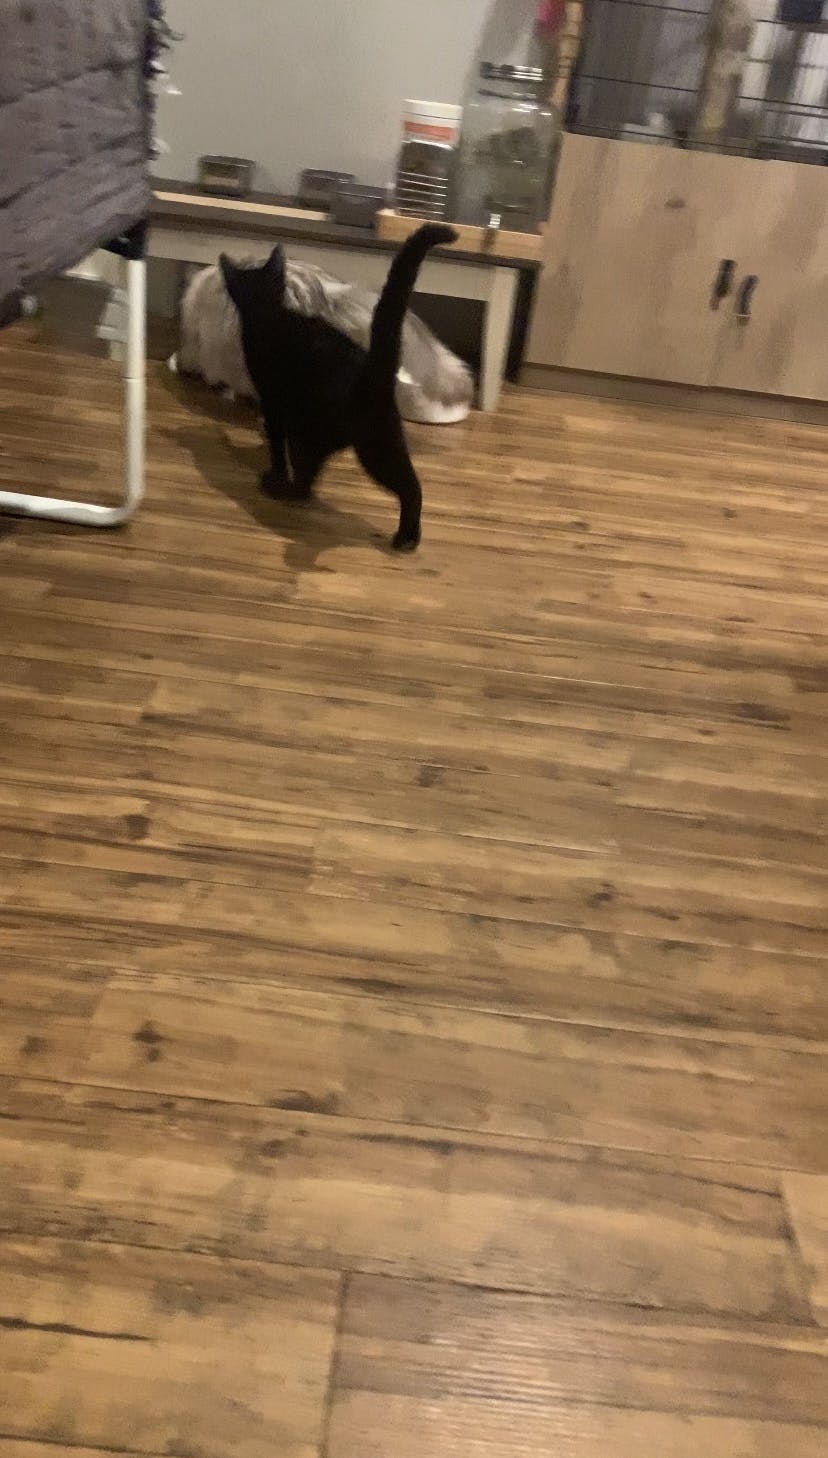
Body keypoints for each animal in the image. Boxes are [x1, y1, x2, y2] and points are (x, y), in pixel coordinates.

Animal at [220, 223, 457, 551]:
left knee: (314, 483)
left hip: (345, 443)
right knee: (411, 483)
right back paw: (411, 537)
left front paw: (275, 468)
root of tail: (374, 370)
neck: (271, 313)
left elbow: (276, 444)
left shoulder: (273, 401)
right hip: (385, 441)